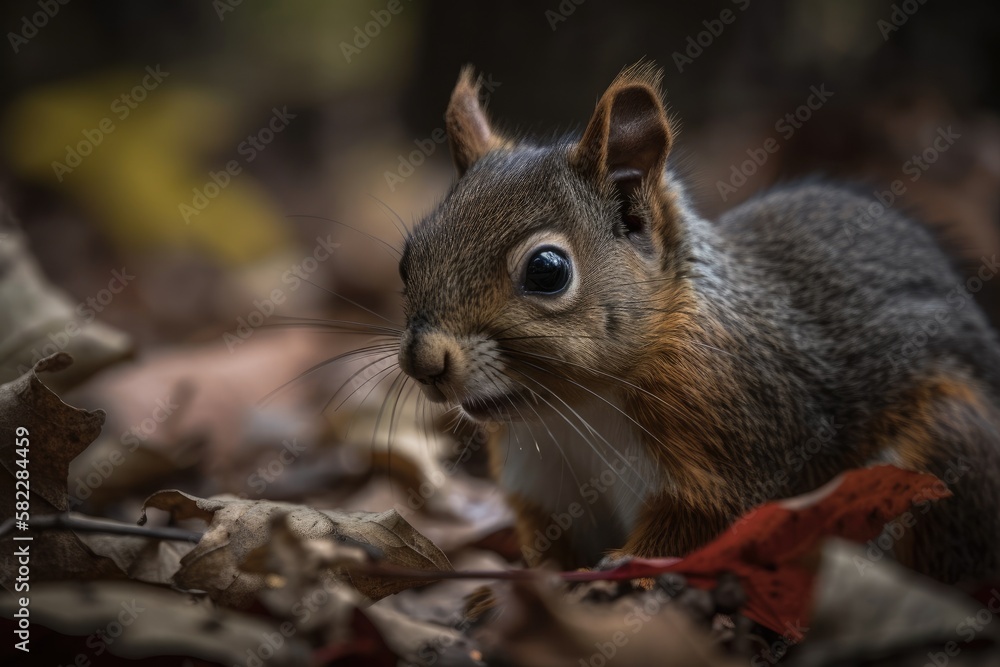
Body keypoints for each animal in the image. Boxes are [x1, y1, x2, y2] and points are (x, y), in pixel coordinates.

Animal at [394, 62, 1000, 584]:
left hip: (946, 447)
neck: (577, 409)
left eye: (547, 270)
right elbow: (552, 553)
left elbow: (695, 530)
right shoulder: (545, 489)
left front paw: (619, 574)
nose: (425, 361)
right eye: (407, 258)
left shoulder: (734, 447)